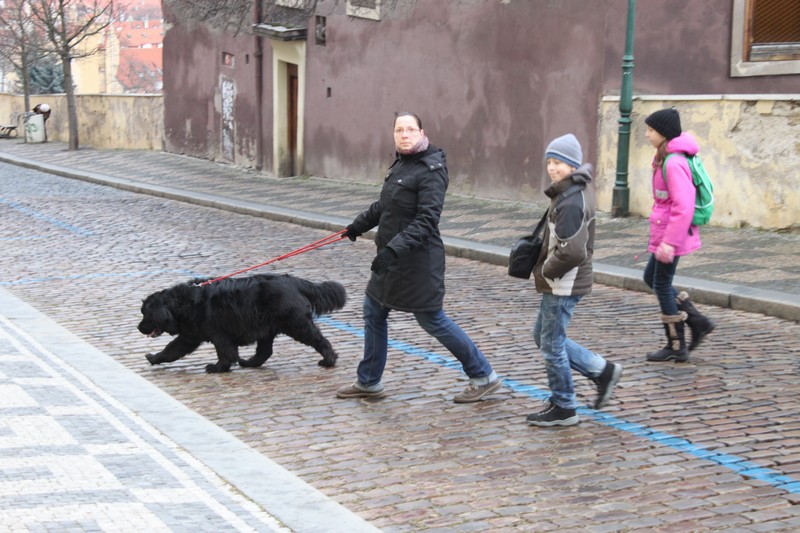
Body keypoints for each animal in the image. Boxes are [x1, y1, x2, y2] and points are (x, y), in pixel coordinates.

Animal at [137, 272, 346, 372]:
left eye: (146, 314)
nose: (138, 327)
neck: (184, 303)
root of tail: (294, 282)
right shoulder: (190, 336)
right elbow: (171, 350)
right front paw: (153, 358)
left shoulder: (218, 335)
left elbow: (226, 353)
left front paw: (217, 368)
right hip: (267, 328)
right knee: (264, 351)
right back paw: (249, 363)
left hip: (296, 323)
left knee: (319, 340)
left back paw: (329, 360)